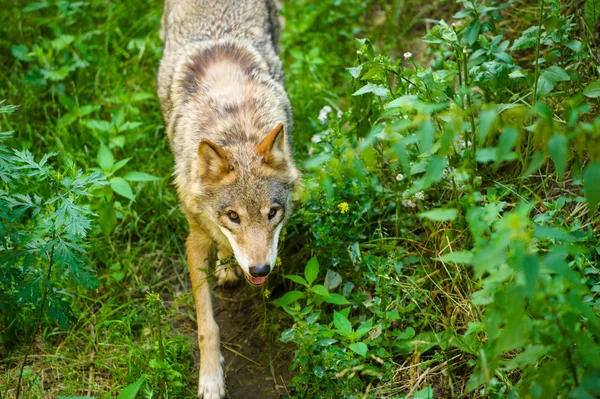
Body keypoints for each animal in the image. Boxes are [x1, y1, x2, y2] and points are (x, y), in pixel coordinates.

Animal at [157, 0, 298, 398]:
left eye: (273, 213)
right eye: (233, 216)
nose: (260, 270)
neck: (234, 130)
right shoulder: (194, 240)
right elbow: (207, 326)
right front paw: (210, 380)